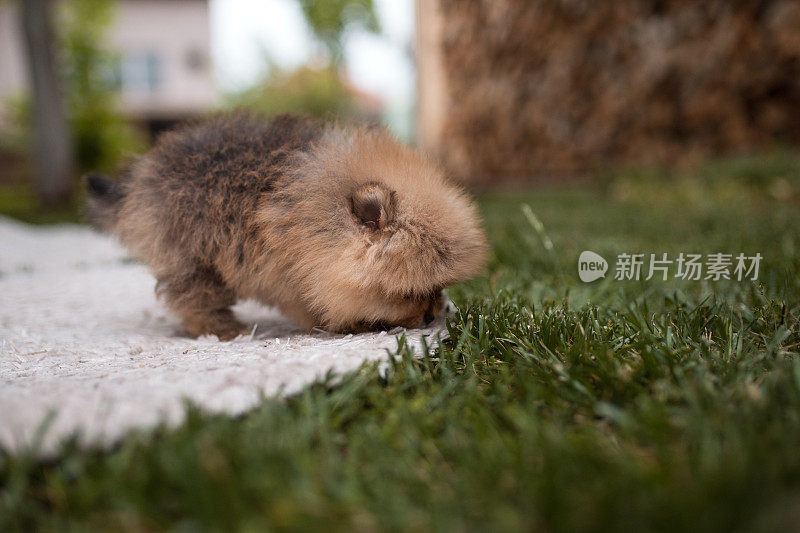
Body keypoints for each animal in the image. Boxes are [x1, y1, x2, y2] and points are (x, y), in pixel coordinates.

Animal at [87, 112, 488, 338]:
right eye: (407, 293)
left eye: (437, 286)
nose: (431, 316)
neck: (313, 218)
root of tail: (142, 175)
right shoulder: (286, 274)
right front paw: (353, 324)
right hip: (192, 255)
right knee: (193, 297)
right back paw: (222, 329)